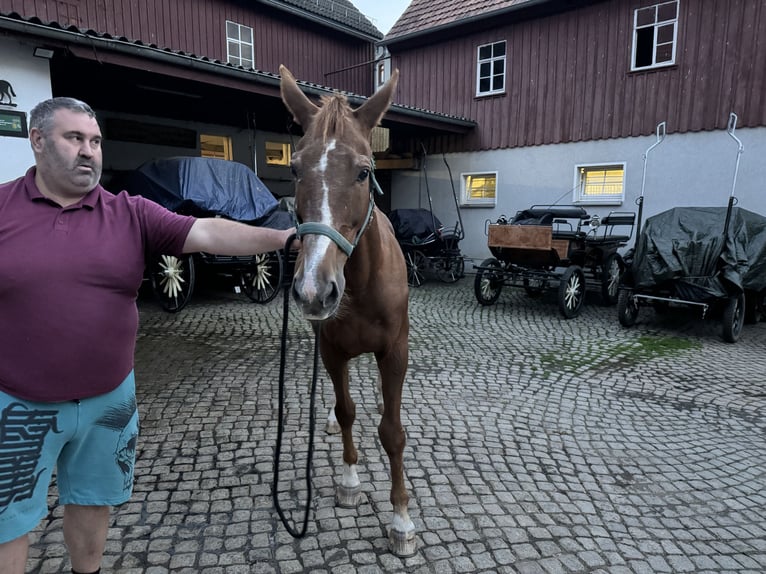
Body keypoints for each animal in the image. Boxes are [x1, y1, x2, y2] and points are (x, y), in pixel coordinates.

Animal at [280, 66, 416, 560]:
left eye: (363, 172)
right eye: (295, 169)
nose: (314, 289)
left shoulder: (394, 352)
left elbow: (392, 432)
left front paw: (401, 520)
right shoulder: (333, 353)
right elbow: (344, 412)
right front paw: (350, 481)